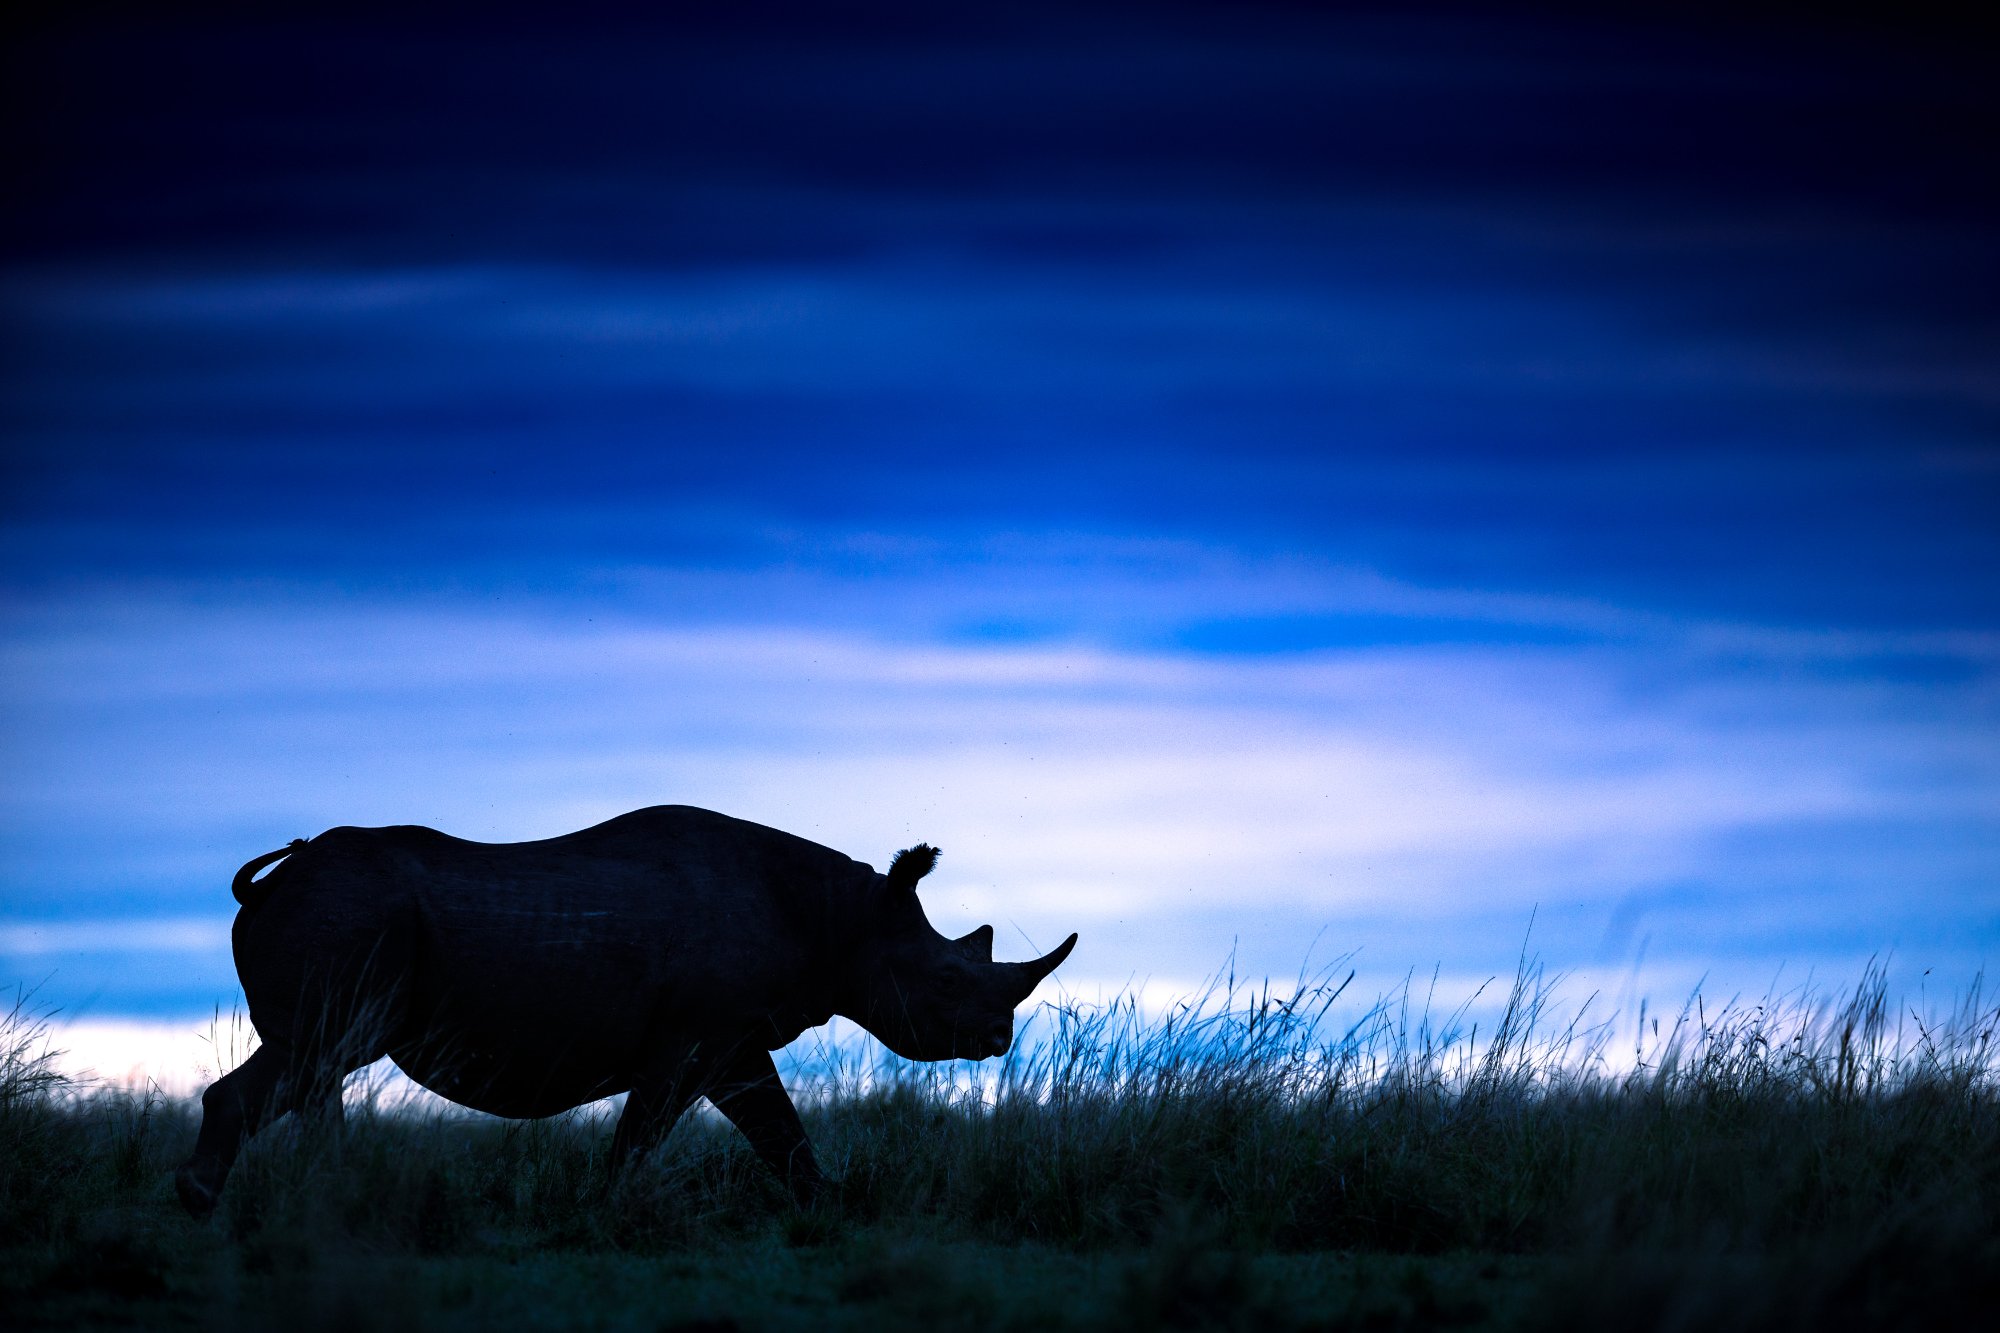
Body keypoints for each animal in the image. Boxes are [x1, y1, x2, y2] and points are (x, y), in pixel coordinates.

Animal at [173, 804, 1077, 1216]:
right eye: (948, 983)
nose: (998, 1040)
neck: (846, 919)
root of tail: (270, 883)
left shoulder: (732, 1037)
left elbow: (778, 1127)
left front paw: (828, 1203)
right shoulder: (696, 1037)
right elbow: (646, 1129)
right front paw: (604, 1209)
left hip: (345, 915)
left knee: (314, 1068)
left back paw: (326, 1196)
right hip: (348, 914)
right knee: (312, 1058)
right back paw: (203, 1209)